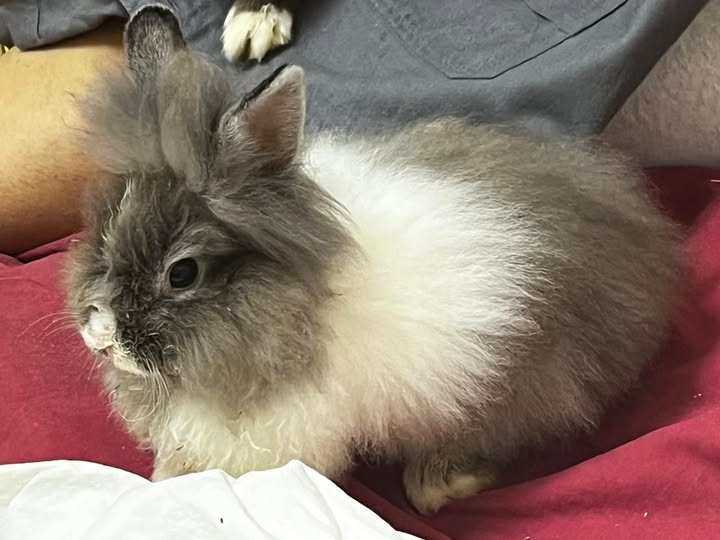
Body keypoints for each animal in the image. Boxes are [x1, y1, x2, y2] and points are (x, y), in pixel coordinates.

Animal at [65, 6, 682, 515]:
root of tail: (642, 238)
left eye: (183, 273)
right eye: (102, 232)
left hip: (508, 377)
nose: (101, 337)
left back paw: (438, 484)